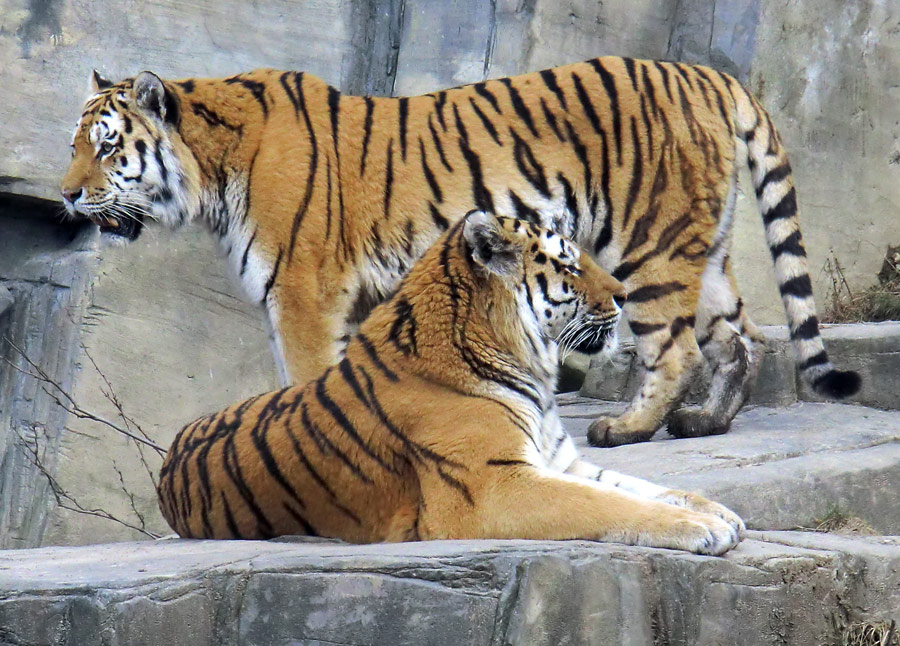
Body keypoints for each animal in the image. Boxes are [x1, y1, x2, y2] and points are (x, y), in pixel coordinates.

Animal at [59, 58, 860, 448]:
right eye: (77, 146)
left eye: (107, 148)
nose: (65, 196)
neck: (213, 170)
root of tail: (711, 74)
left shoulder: (304, 296)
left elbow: (309, 380)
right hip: (704, 245)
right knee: (744, 339)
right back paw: (706, 423)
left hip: (650, 245)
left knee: (680, 348)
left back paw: (627, 430)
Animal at [156, 214, 744, 556]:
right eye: (569, 265)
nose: (623, 295)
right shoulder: (493, 486)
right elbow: (609, 505)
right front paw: (703, 528)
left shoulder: (560, 463)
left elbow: (638, 488)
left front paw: (719, 512)